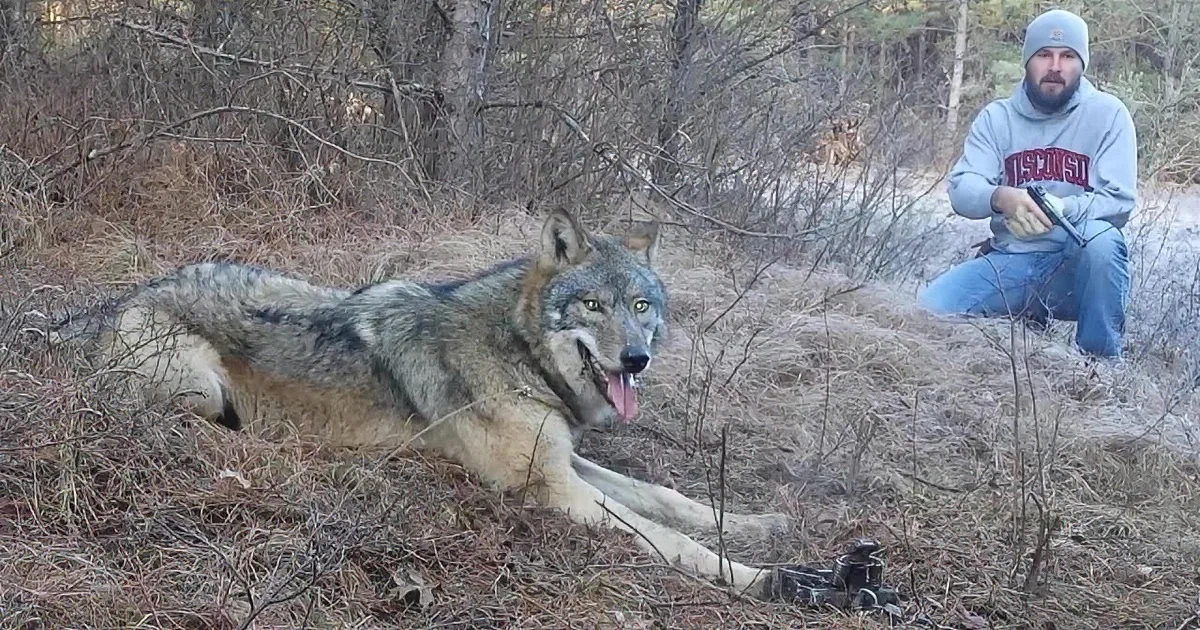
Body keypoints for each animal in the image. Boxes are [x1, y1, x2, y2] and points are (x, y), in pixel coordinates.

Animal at [47, 209, 802, 600]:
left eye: (642, 307)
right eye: (593, 305)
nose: (637, 359)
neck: (517, 349)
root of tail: (123, 298)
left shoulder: (568, 464)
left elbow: (672, 500)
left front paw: (762, 526)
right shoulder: (550, 488)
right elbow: (668, 538)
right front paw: (764, 578)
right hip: (201, 389)